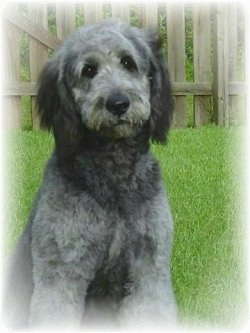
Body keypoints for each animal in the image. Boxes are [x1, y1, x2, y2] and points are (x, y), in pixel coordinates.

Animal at [1, 19, 178, 328]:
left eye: (128, 62)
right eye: (88, 70)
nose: (118, 103)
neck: (113, 178)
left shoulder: (149, 266)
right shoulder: (62, 268)